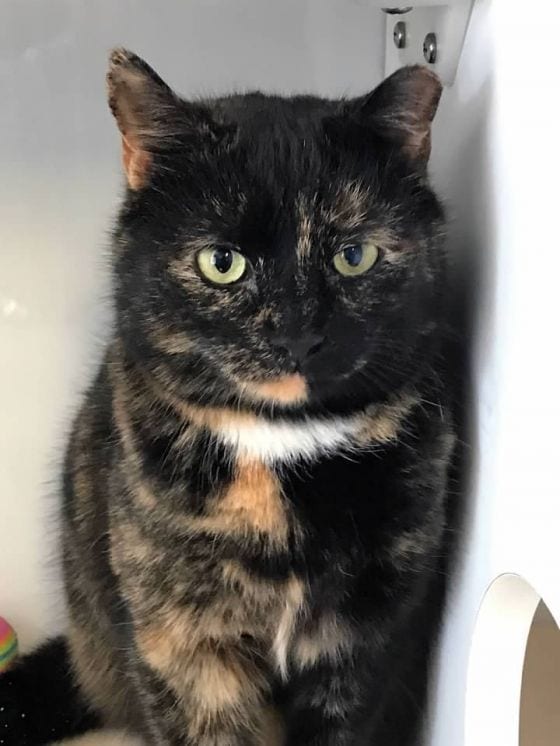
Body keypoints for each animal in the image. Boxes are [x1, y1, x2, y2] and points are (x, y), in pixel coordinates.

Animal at [0, 49, 456, 746]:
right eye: (222, 262)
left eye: (354, 255)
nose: (298, 334)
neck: (280, 448)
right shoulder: (182, 645)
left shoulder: (362, 647)